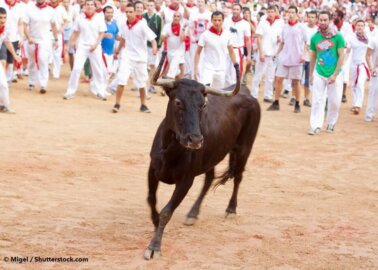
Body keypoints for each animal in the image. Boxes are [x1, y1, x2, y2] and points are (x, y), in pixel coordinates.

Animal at [144, 51, 260, 260]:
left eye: (202, 105)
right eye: (178, 102)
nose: (196, 140)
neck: (170, 150)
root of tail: (249, 95)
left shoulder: (185, 181)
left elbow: (167, 211)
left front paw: (154, 246)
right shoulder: (152, 170)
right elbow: (151, 199)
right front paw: (155, 223)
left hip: (244, 148)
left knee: (238, 177)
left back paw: (231, 209)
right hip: (212, 157)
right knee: (210, 178)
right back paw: (193, 213)